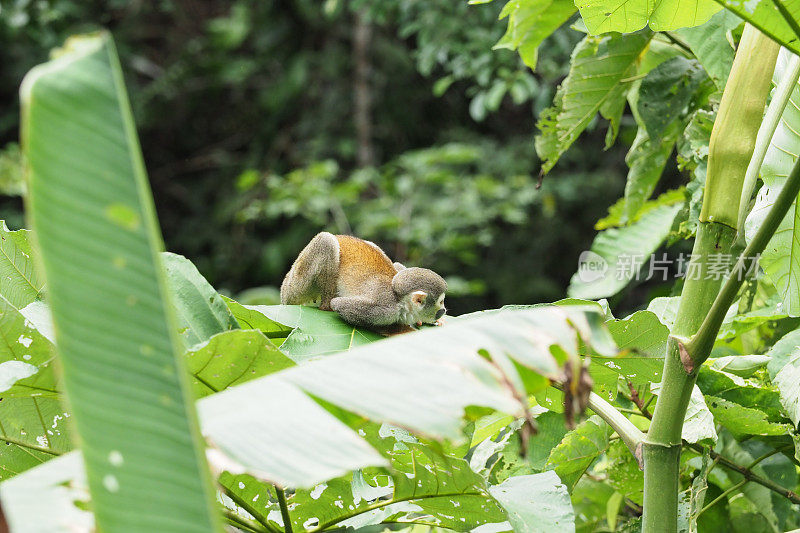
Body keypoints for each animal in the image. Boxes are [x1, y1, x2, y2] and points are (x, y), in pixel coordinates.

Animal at [282, 232, 446, 330]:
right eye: (441, 302)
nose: (444, 310)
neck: (400, 300)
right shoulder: (384, 310)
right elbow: (339, 304)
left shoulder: (398, 276)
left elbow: (399, 268)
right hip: (295, 285)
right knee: (326, 241)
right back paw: (326, 306)